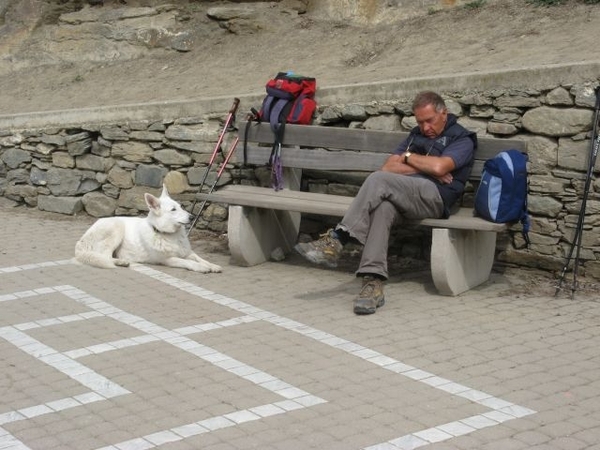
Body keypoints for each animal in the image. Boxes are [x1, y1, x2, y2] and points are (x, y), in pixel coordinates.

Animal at [74, 185, 221, 272]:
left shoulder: (187, 252)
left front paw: (212, 265)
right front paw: (200, 267)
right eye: (173, 209)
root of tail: (80, 242)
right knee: (105, 256)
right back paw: (121, 262)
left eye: (181, 207)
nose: (192, 217)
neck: (167, 234)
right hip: (116, 227)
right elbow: (186, 262)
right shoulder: (167, 259)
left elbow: (199, 258)